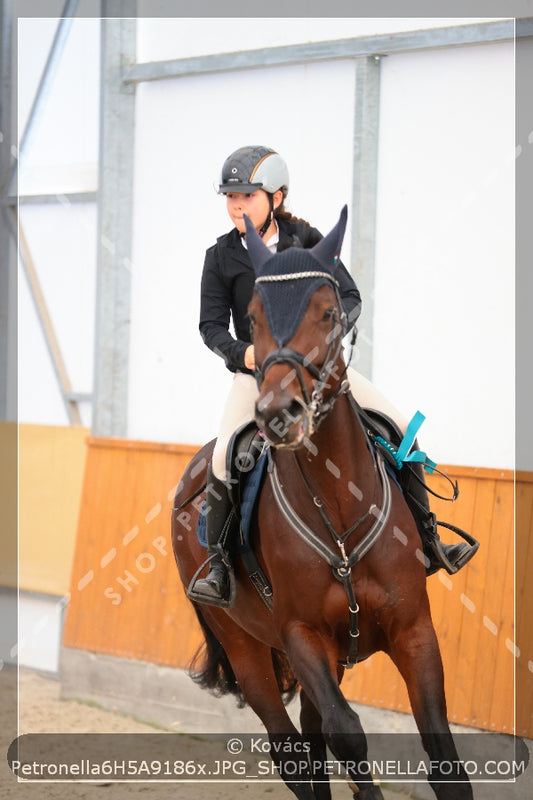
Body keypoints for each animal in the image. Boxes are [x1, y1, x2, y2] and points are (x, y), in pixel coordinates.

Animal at [170, 206, 470, 800]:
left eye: (330, 313)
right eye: (253, 318)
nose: (278, 413)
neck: (338, 509)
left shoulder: (413, 629)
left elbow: (441, 750)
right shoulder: (302, 635)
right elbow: (348, 735)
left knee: (310, 737)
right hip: (244, 644)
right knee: (290, 748)